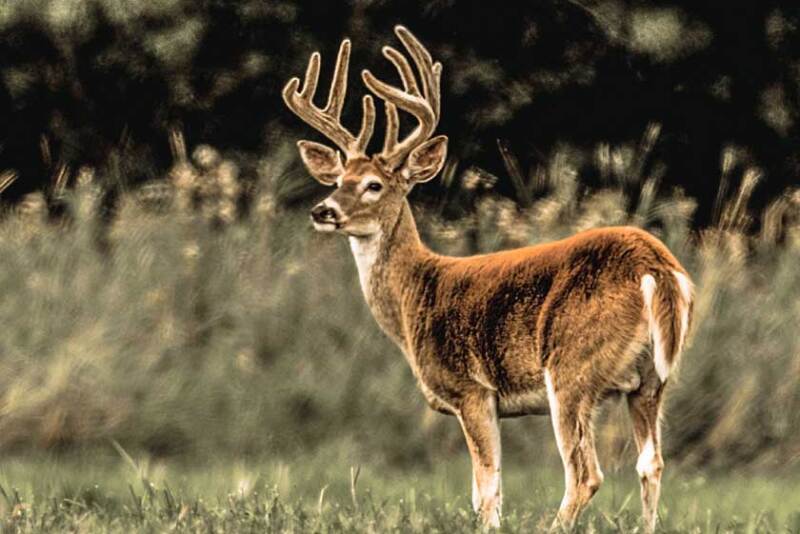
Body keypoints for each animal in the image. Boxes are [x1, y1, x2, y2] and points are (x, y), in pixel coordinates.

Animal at [282, 25, 694, 532]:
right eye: (337, 179)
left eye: (374, 185)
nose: (323, 210)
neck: (416, 294)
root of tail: (656, 267)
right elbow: (487, 487)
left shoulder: (471, 389)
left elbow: (486, 489)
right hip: (651, 380)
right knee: (650, 464)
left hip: (572, 365)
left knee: (585, 473)